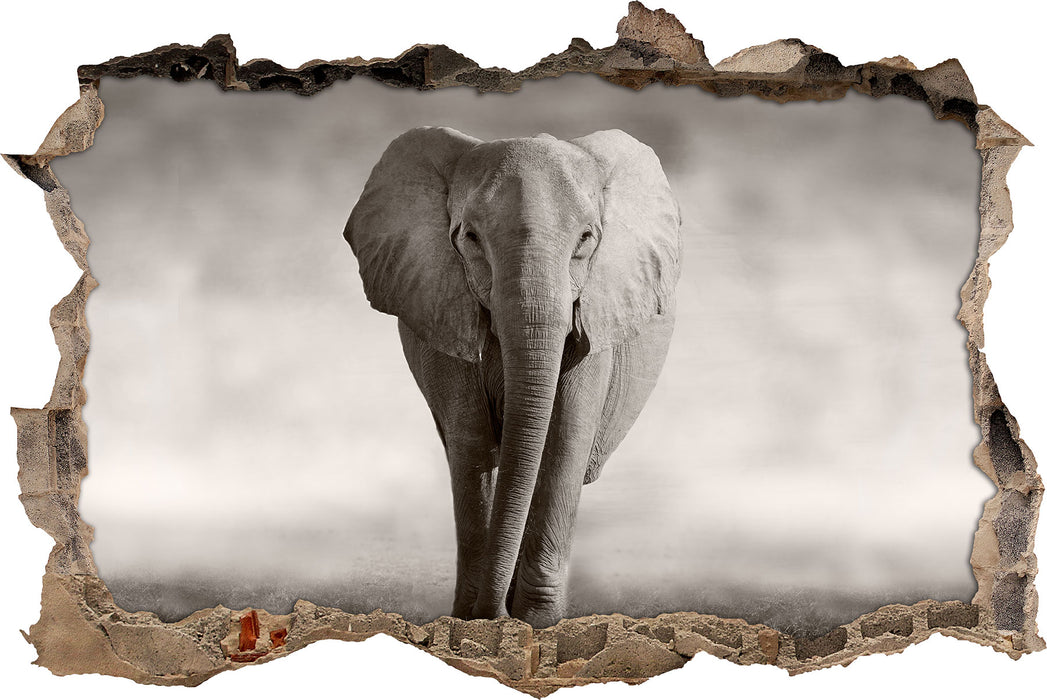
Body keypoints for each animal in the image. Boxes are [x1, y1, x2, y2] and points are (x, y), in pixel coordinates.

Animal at [344, 126, 682, 628]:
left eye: (586, 238)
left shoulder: (597, 312)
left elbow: (564, 438)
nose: (494, 612)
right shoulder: (441, 305)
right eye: (470, 237)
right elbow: (471, 440)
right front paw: (473, 620)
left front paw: (538, 623)